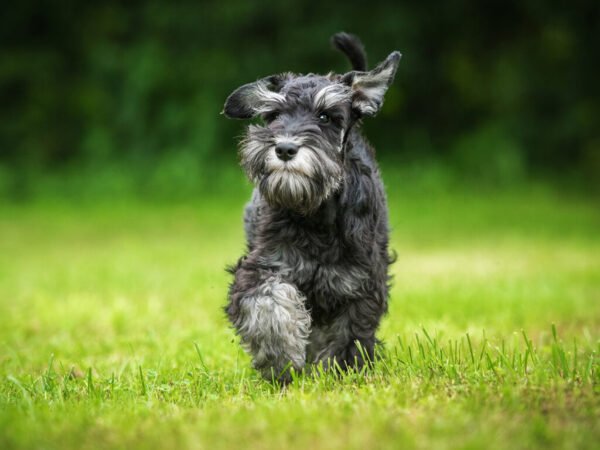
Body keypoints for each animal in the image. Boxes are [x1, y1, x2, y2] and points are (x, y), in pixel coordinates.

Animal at [223, 32, 400, 384]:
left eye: (325, 116)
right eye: (274, 115)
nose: (285, 148)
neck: (316, 213)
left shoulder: (360, 283)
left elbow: (348, 333)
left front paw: (338, 372)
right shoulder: (264, 265)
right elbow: (268, 303)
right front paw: (280, 358)